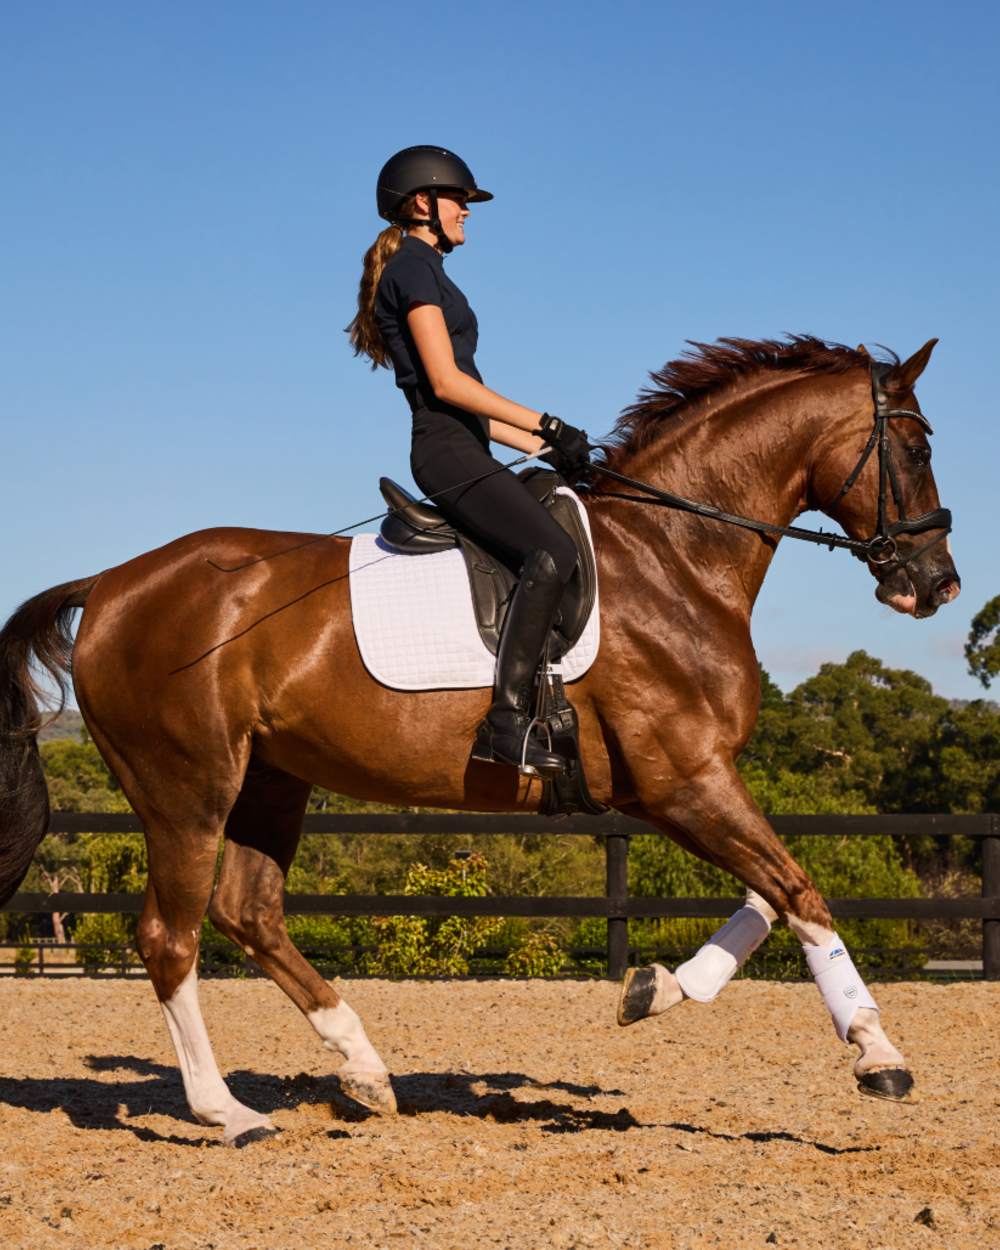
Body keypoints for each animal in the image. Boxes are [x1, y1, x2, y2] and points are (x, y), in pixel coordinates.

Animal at [0, 335, 960, 1145]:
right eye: (917, 449)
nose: (938, 585)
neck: (675, 557)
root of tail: (111, 584)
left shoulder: (675, 786)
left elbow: (773, 889)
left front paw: (654, 989)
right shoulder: (683, 779)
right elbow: (800, 889)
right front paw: (878, 1054)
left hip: (270, 779)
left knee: (250, 911)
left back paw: (365, 1070)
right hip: (188, 789)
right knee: (172, 937)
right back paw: (227, 1112)